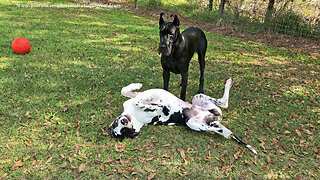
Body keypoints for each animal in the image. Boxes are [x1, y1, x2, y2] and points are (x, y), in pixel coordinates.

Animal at [108, 78, 258, 154]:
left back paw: (228, 83)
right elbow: (139, 102)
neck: (133, 116)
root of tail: (214, 120)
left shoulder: (132, 99)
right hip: (194, 123)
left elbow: (126, 91)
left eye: (118, 125)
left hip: (198, 97)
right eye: (124, 131)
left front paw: (137, 86)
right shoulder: (157, 110)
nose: (124, 121)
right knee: (225, 127)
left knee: (224, 104)